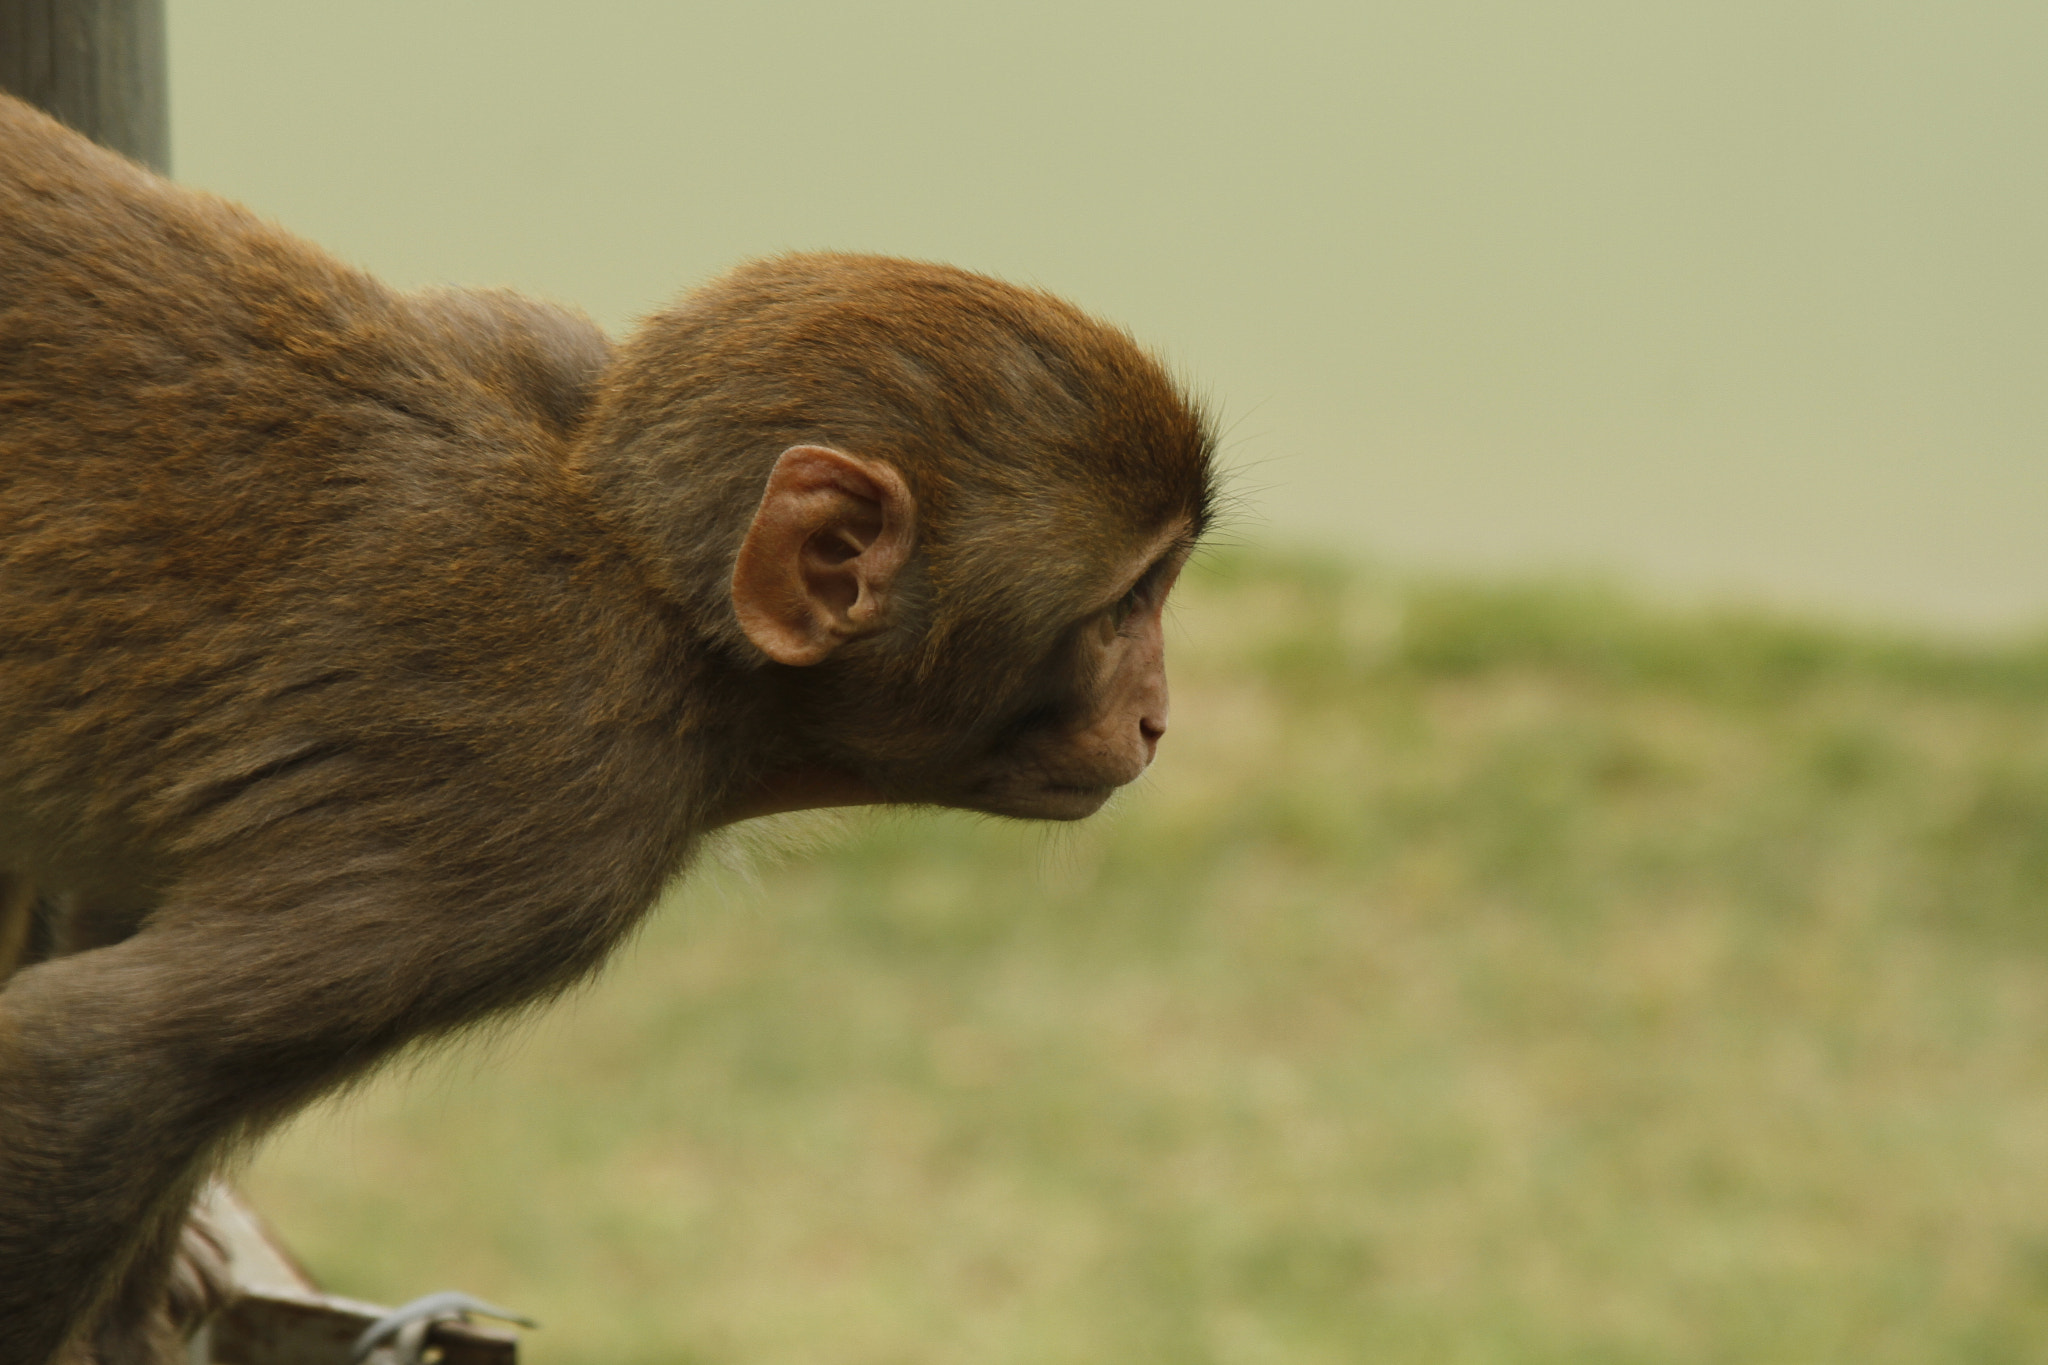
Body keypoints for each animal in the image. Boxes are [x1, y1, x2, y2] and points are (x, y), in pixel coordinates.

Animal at [0, 92, 1215, 1364]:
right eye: (1122, 609)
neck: (661, 607)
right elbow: (92, 1059)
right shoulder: (553, 817)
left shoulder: (546, 347)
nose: (1156, 720)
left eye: (1159, 593)